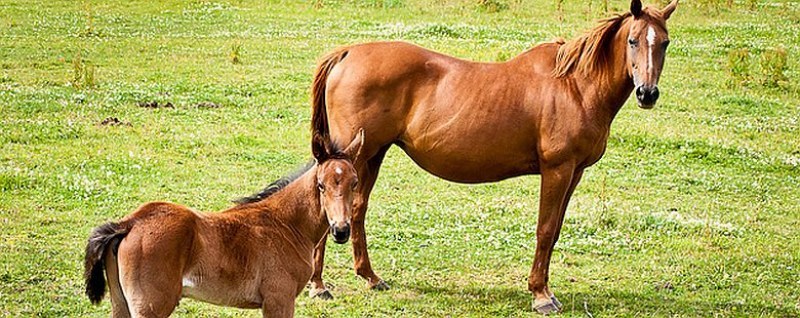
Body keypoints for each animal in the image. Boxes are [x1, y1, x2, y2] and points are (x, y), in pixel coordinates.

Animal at [85, 130, 366, 316]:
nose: (341, 230)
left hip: (121, 303)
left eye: (354, 182)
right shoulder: (279, 299)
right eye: (321, 185)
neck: (286, 224)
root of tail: (131, 222)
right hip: (151, 306)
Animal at [245, 0, 680, 314]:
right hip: (355, 154)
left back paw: (369, 277)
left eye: (664, 41)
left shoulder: (573, 173)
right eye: (633, 41)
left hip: (371, 155)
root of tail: (348, 52)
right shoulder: (557, 170)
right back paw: (319, 285)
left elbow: (554, 231)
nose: (647, 93)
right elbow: (544, 230)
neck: (573, 86)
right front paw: (541, 295)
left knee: (356, 208)